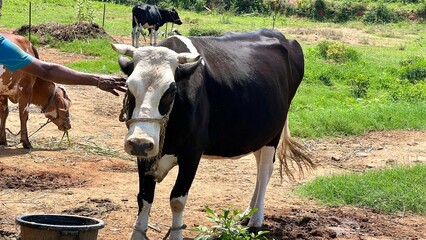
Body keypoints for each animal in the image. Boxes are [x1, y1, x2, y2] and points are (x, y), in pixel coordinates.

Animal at [111, 28, 314, 240]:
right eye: (128, 86)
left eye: (171, 90)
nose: (140, 142)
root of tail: (279, 35)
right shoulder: (146, 155)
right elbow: (144, 198)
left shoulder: (192, 154)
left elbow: (177, 200)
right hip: (259, 134)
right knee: (260, 169)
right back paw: (247, 214)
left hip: (273, 134)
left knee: (265, 171)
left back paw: (256, 221)